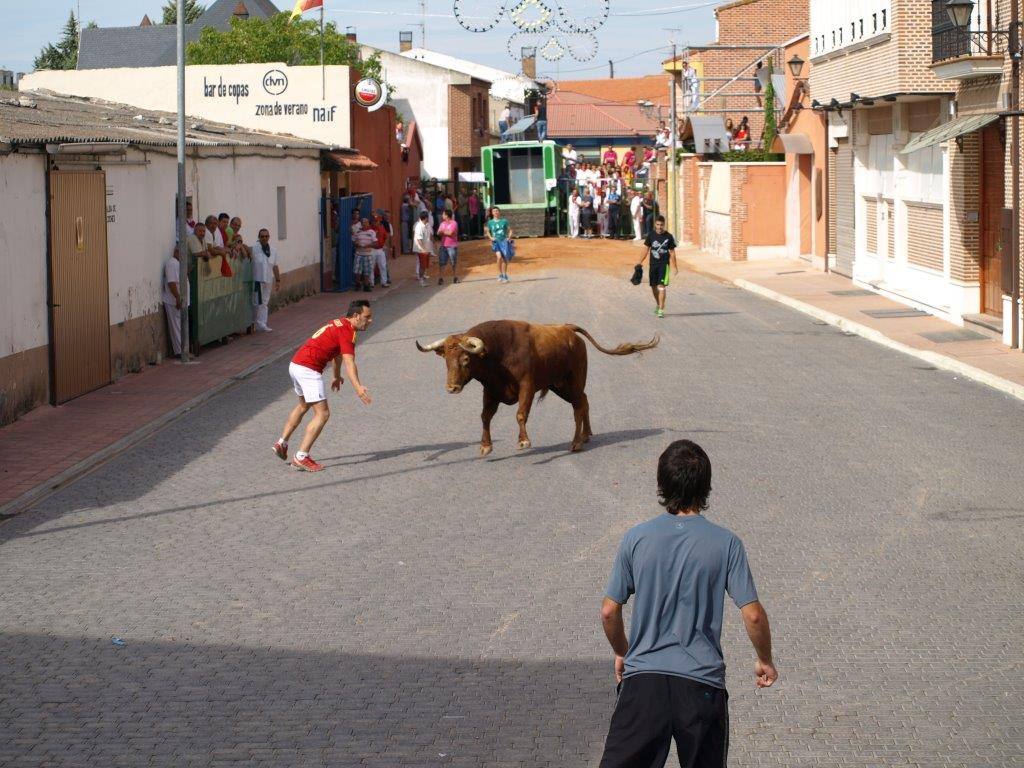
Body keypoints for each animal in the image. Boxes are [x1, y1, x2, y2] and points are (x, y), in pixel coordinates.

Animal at [413, 319, 655, 454]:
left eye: (465, 359)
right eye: (446, 360)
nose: (451, 388)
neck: (496, 352)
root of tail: (568, 329)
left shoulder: (527, 386)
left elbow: (521, 414)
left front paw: (523, 441)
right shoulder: (490, 390)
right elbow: (485, 416)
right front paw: (485, 446)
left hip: (574, 380)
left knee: (578, 406)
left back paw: (576, 443)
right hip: (560, 385)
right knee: (584, 401)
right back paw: (586, 436)